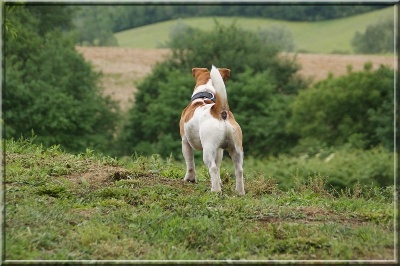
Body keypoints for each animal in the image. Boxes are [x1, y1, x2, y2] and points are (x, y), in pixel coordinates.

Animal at [180, 65, 244, 194]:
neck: (205, 95)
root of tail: (222, 112)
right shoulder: (219, 149)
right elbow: (219, 165)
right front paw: (219, 181)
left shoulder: (185, 142)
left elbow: (190, 163)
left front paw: (190, 179)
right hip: (236, 149)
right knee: (238, 170)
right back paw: (240, 192)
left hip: (208, 149)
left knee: (213, 168)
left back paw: (215, 190)